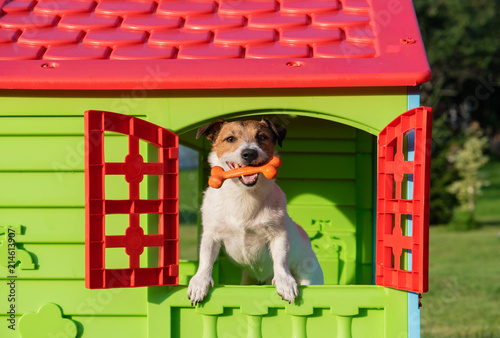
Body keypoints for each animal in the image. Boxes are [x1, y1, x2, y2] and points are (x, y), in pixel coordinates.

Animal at [188, 119, 324, 306]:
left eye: (261, 137)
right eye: (230, 139)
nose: (249, 153)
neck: (244, 196)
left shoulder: (278, 235)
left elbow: (280, 260)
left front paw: (285, 282)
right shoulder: (211, 235)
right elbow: (206, 259)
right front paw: (199, 282)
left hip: (309, 276)